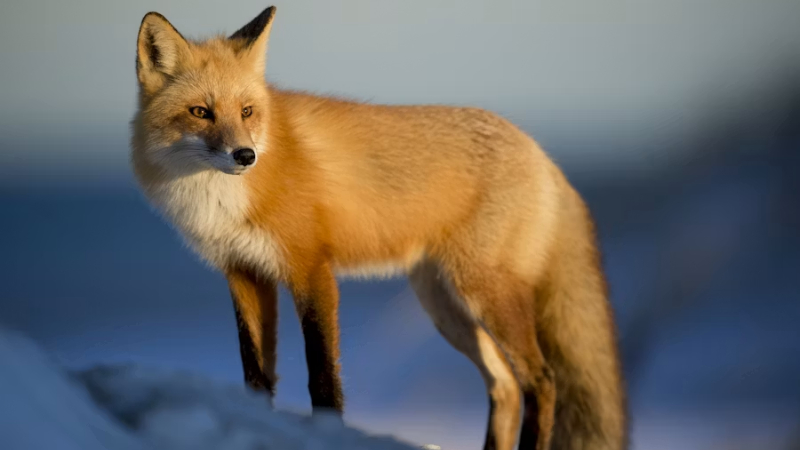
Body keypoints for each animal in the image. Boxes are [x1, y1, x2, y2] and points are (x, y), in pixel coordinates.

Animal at [130, 6, 627, 450]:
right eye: (201, 112)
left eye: (247, 111)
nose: (245, 155)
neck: (221, 198)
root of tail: (541, 153)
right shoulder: (244, 273)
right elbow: (255, 374)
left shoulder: (312, 270)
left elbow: (322, 376)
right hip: (446, 308)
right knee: (504, 386)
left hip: (485, 294)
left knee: (541, 381)